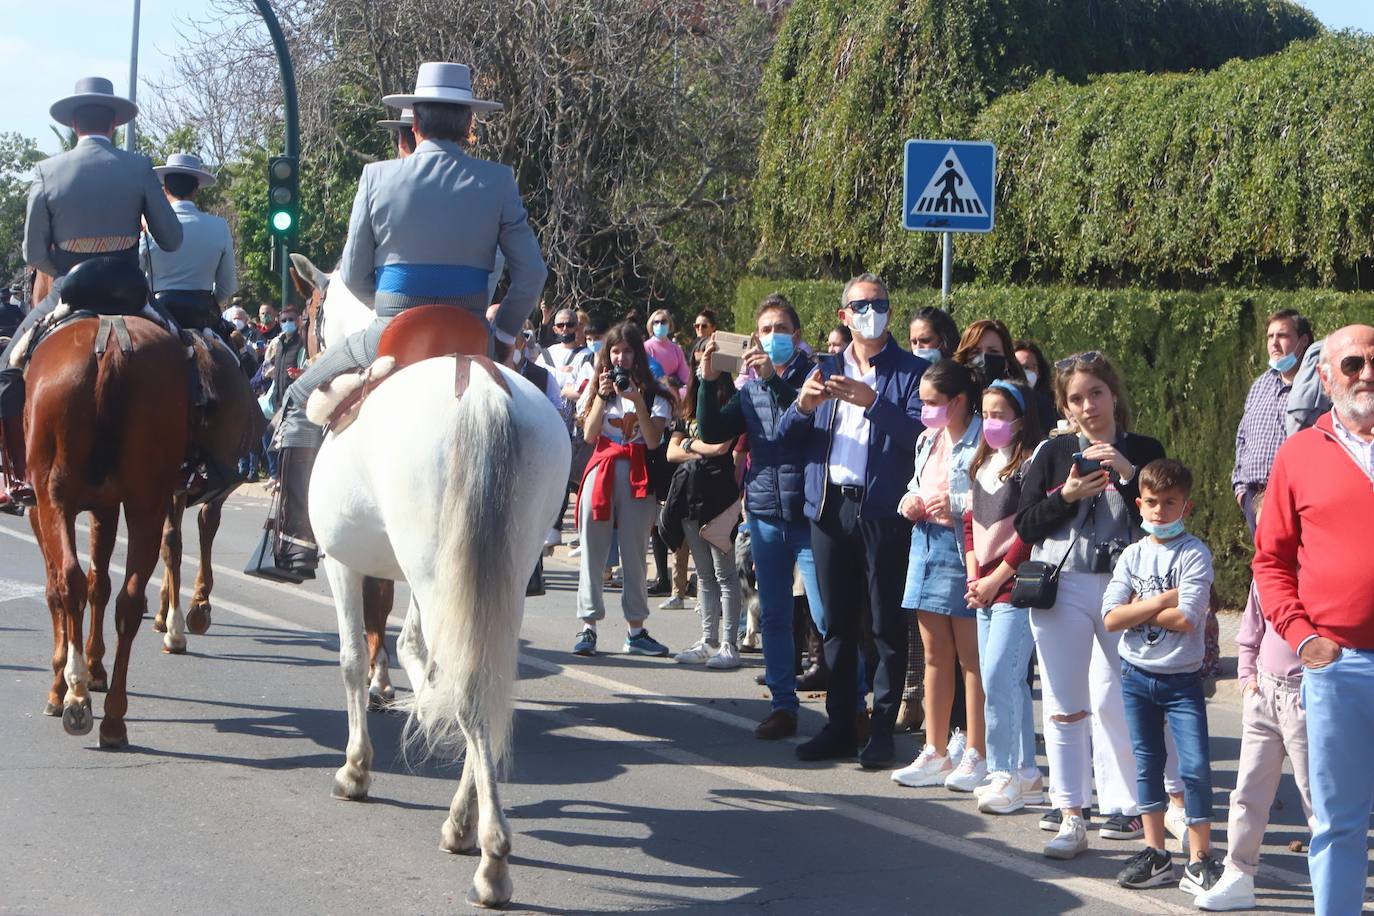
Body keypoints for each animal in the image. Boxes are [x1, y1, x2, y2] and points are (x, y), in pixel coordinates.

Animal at [26, 313, 188, 747]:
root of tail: (112, 341)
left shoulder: (38, 507)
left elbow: (58, 590)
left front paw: (64, 683)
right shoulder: (106, 507)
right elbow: (100, 584)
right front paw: (96, 670)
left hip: (54, 498)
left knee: (69, 583)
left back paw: (75, 696)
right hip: (148, 503)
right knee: (129, 600)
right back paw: (114, 717)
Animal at [310, 351, 568, 911]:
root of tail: (482, 390)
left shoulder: (341, 564)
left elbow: (353, 661)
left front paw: (356, 769)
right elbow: (413, 651)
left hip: (431, 571)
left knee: (468, 694)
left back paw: (491, 860)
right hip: (489, 580)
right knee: (480, 686)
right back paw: (464, 825)